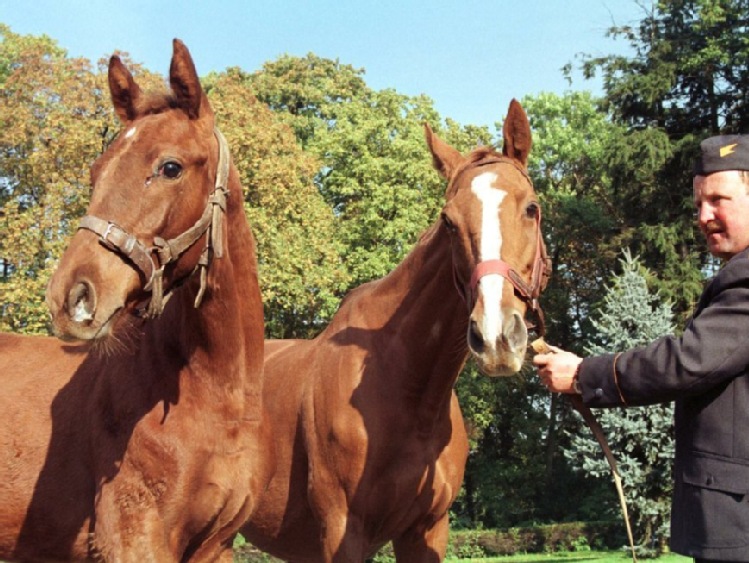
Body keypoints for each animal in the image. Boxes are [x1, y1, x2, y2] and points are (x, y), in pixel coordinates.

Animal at [240, 99, 548, 560]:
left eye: (531, 208)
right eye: (448, 221)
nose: (495, 337)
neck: (409, 389)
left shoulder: (428, 529)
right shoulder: (342, 531)